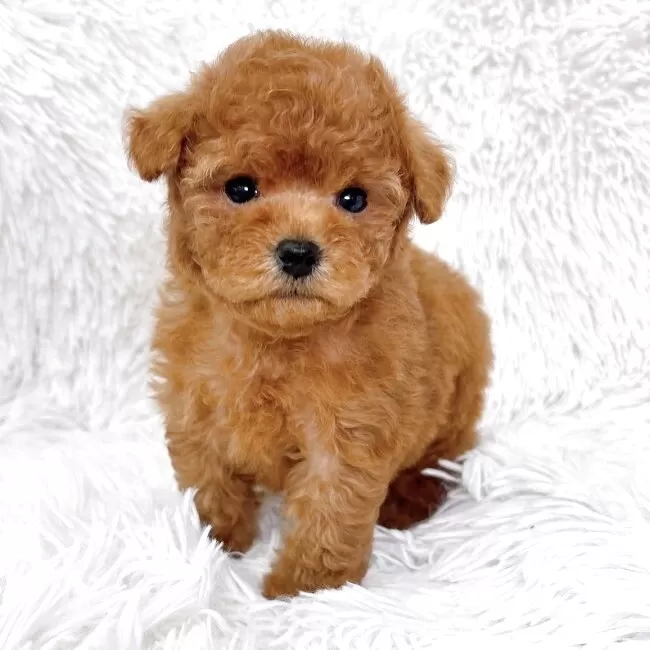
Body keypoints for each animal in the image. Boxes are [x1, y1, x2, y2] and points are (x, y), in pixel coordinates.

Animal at [126, 30, 492, 599]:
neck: (276, 339)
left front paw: (305, 590)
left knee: (442, 459)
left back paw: (409, 499)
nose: (298, 252)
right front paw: (216, 543)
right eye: (240, 188)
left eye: (353, 198)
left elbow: (329, 513)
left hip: (456, 407)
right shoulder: (194, 403)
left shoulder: (346, 437)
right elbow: (208, 479)